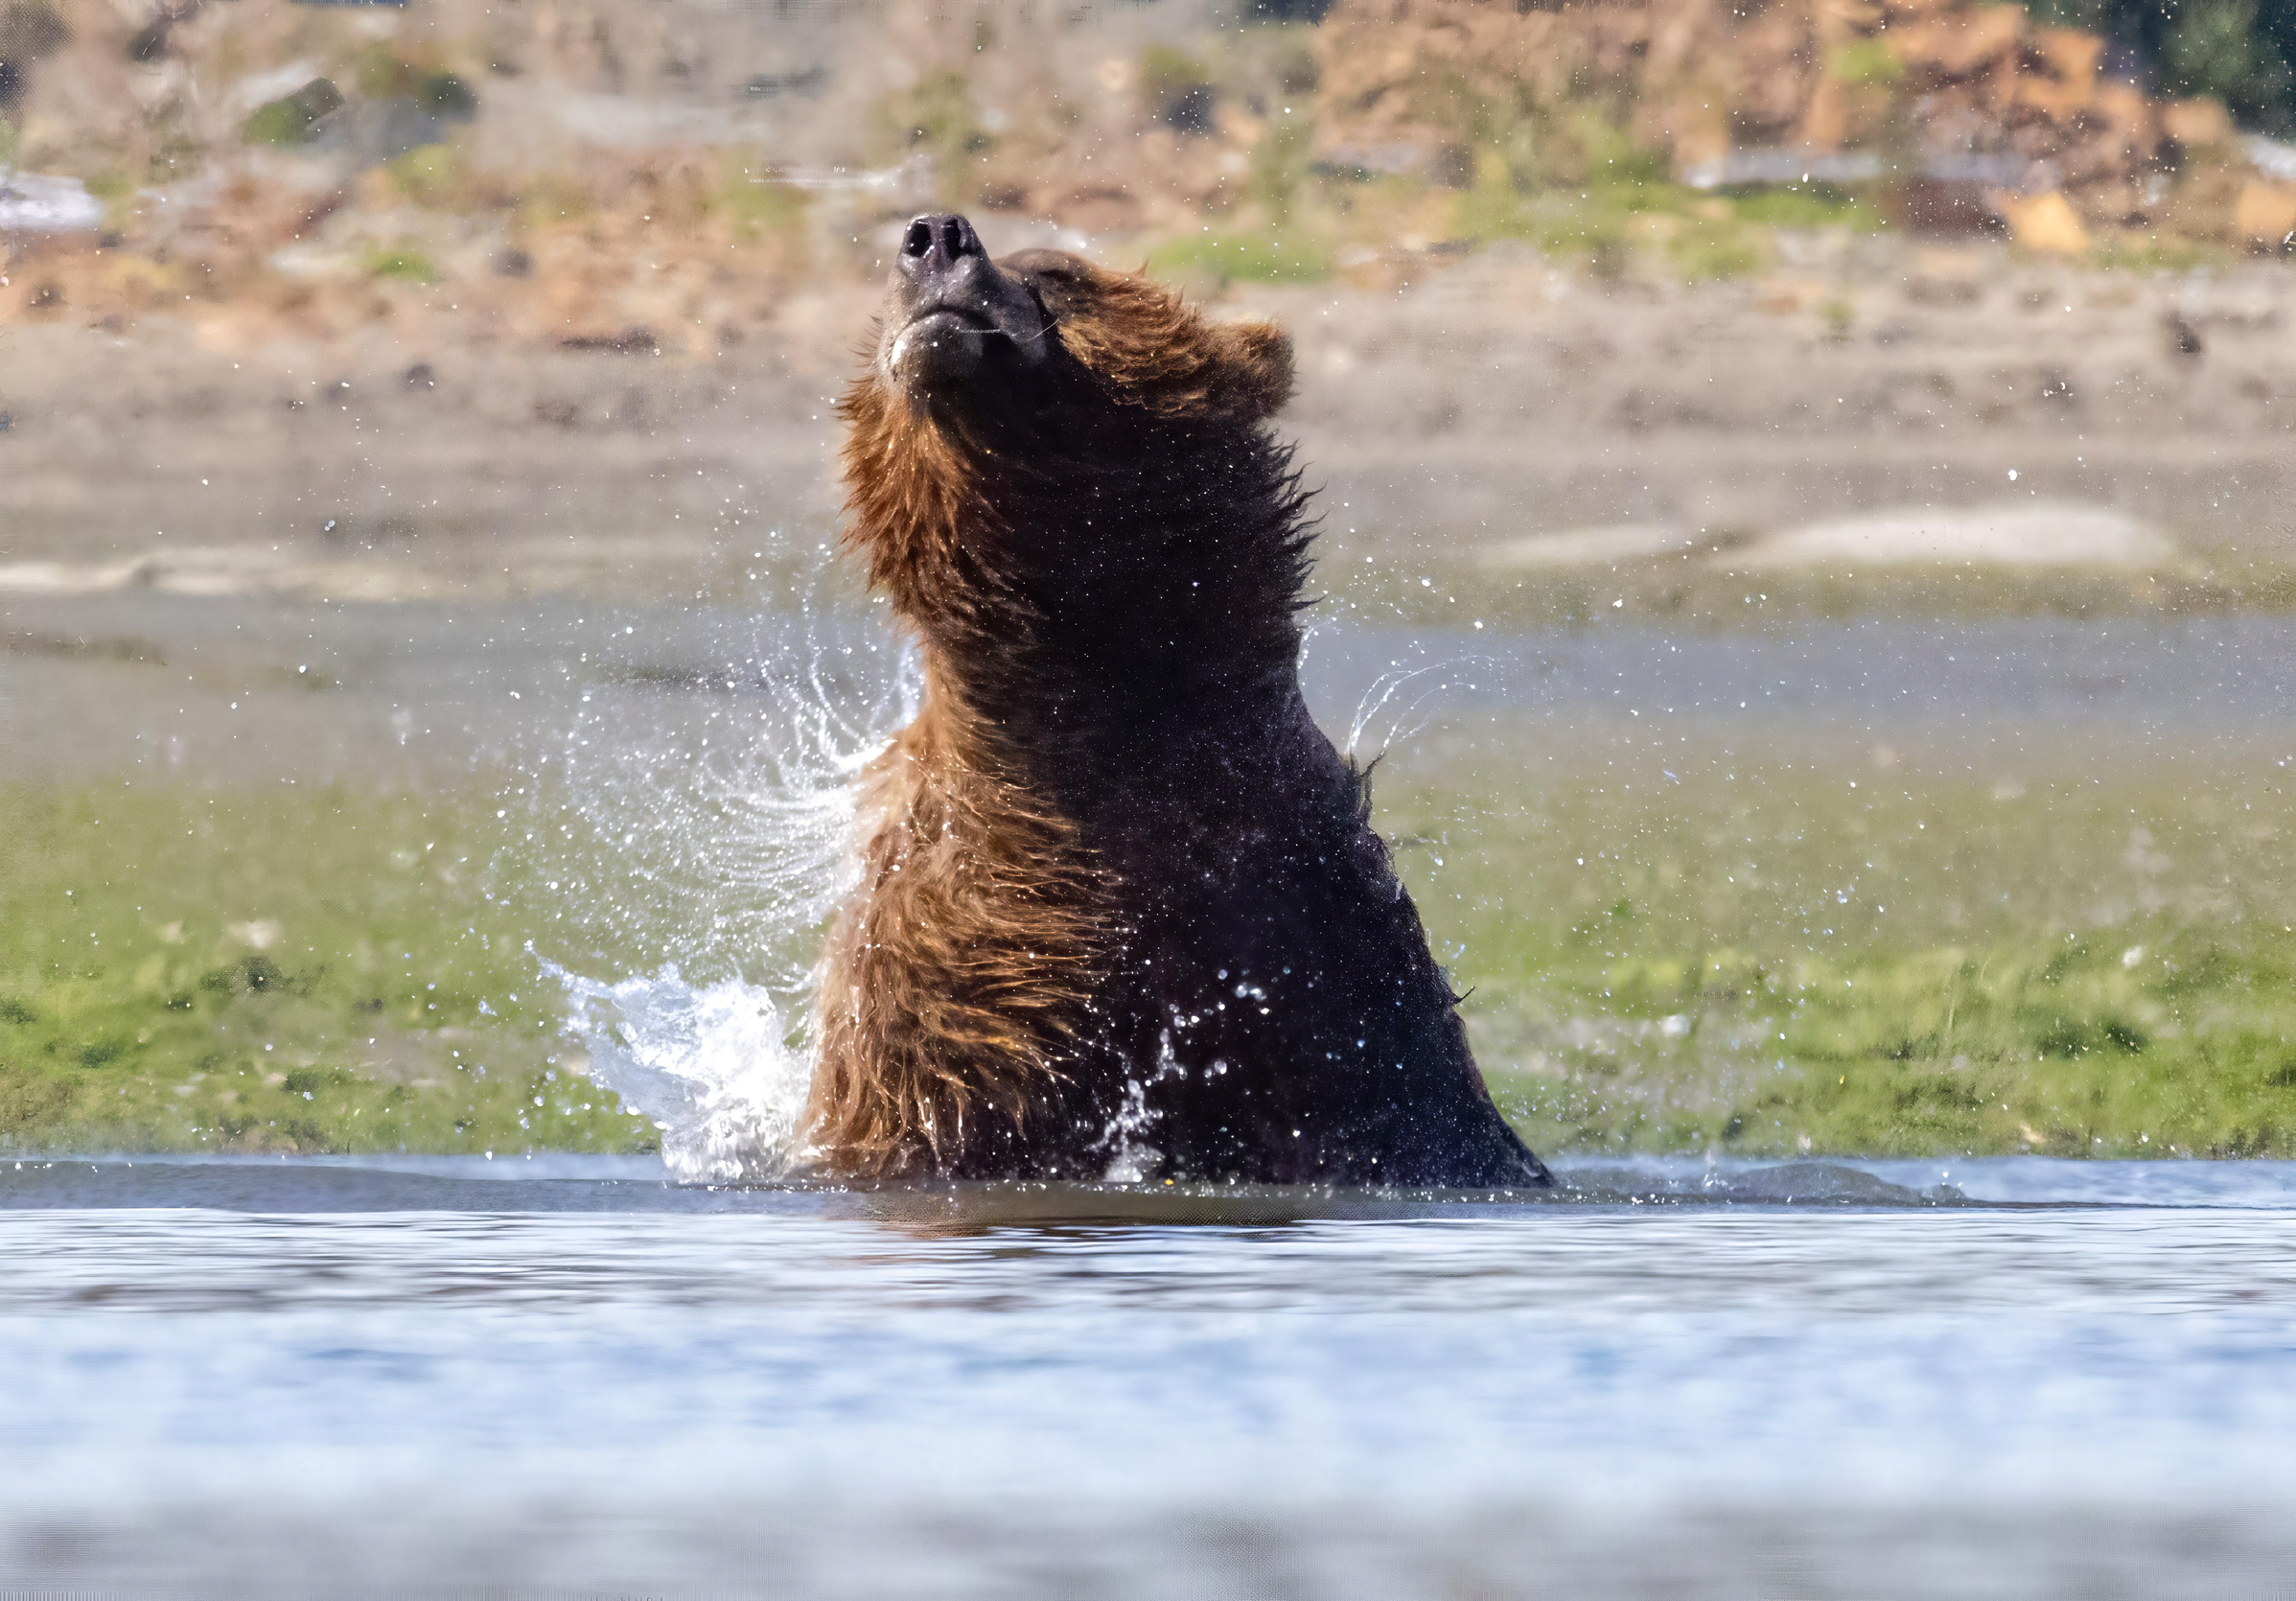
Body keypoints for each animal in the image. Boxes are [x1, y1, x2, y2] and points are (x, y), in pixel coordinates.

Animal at [801, 212, 1549, 1189]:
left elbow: (1401, 1107)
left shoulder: (1313, 964)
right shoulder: (958, 982)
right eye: (875, 311)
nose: (932, 236)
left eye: (1059, 271)